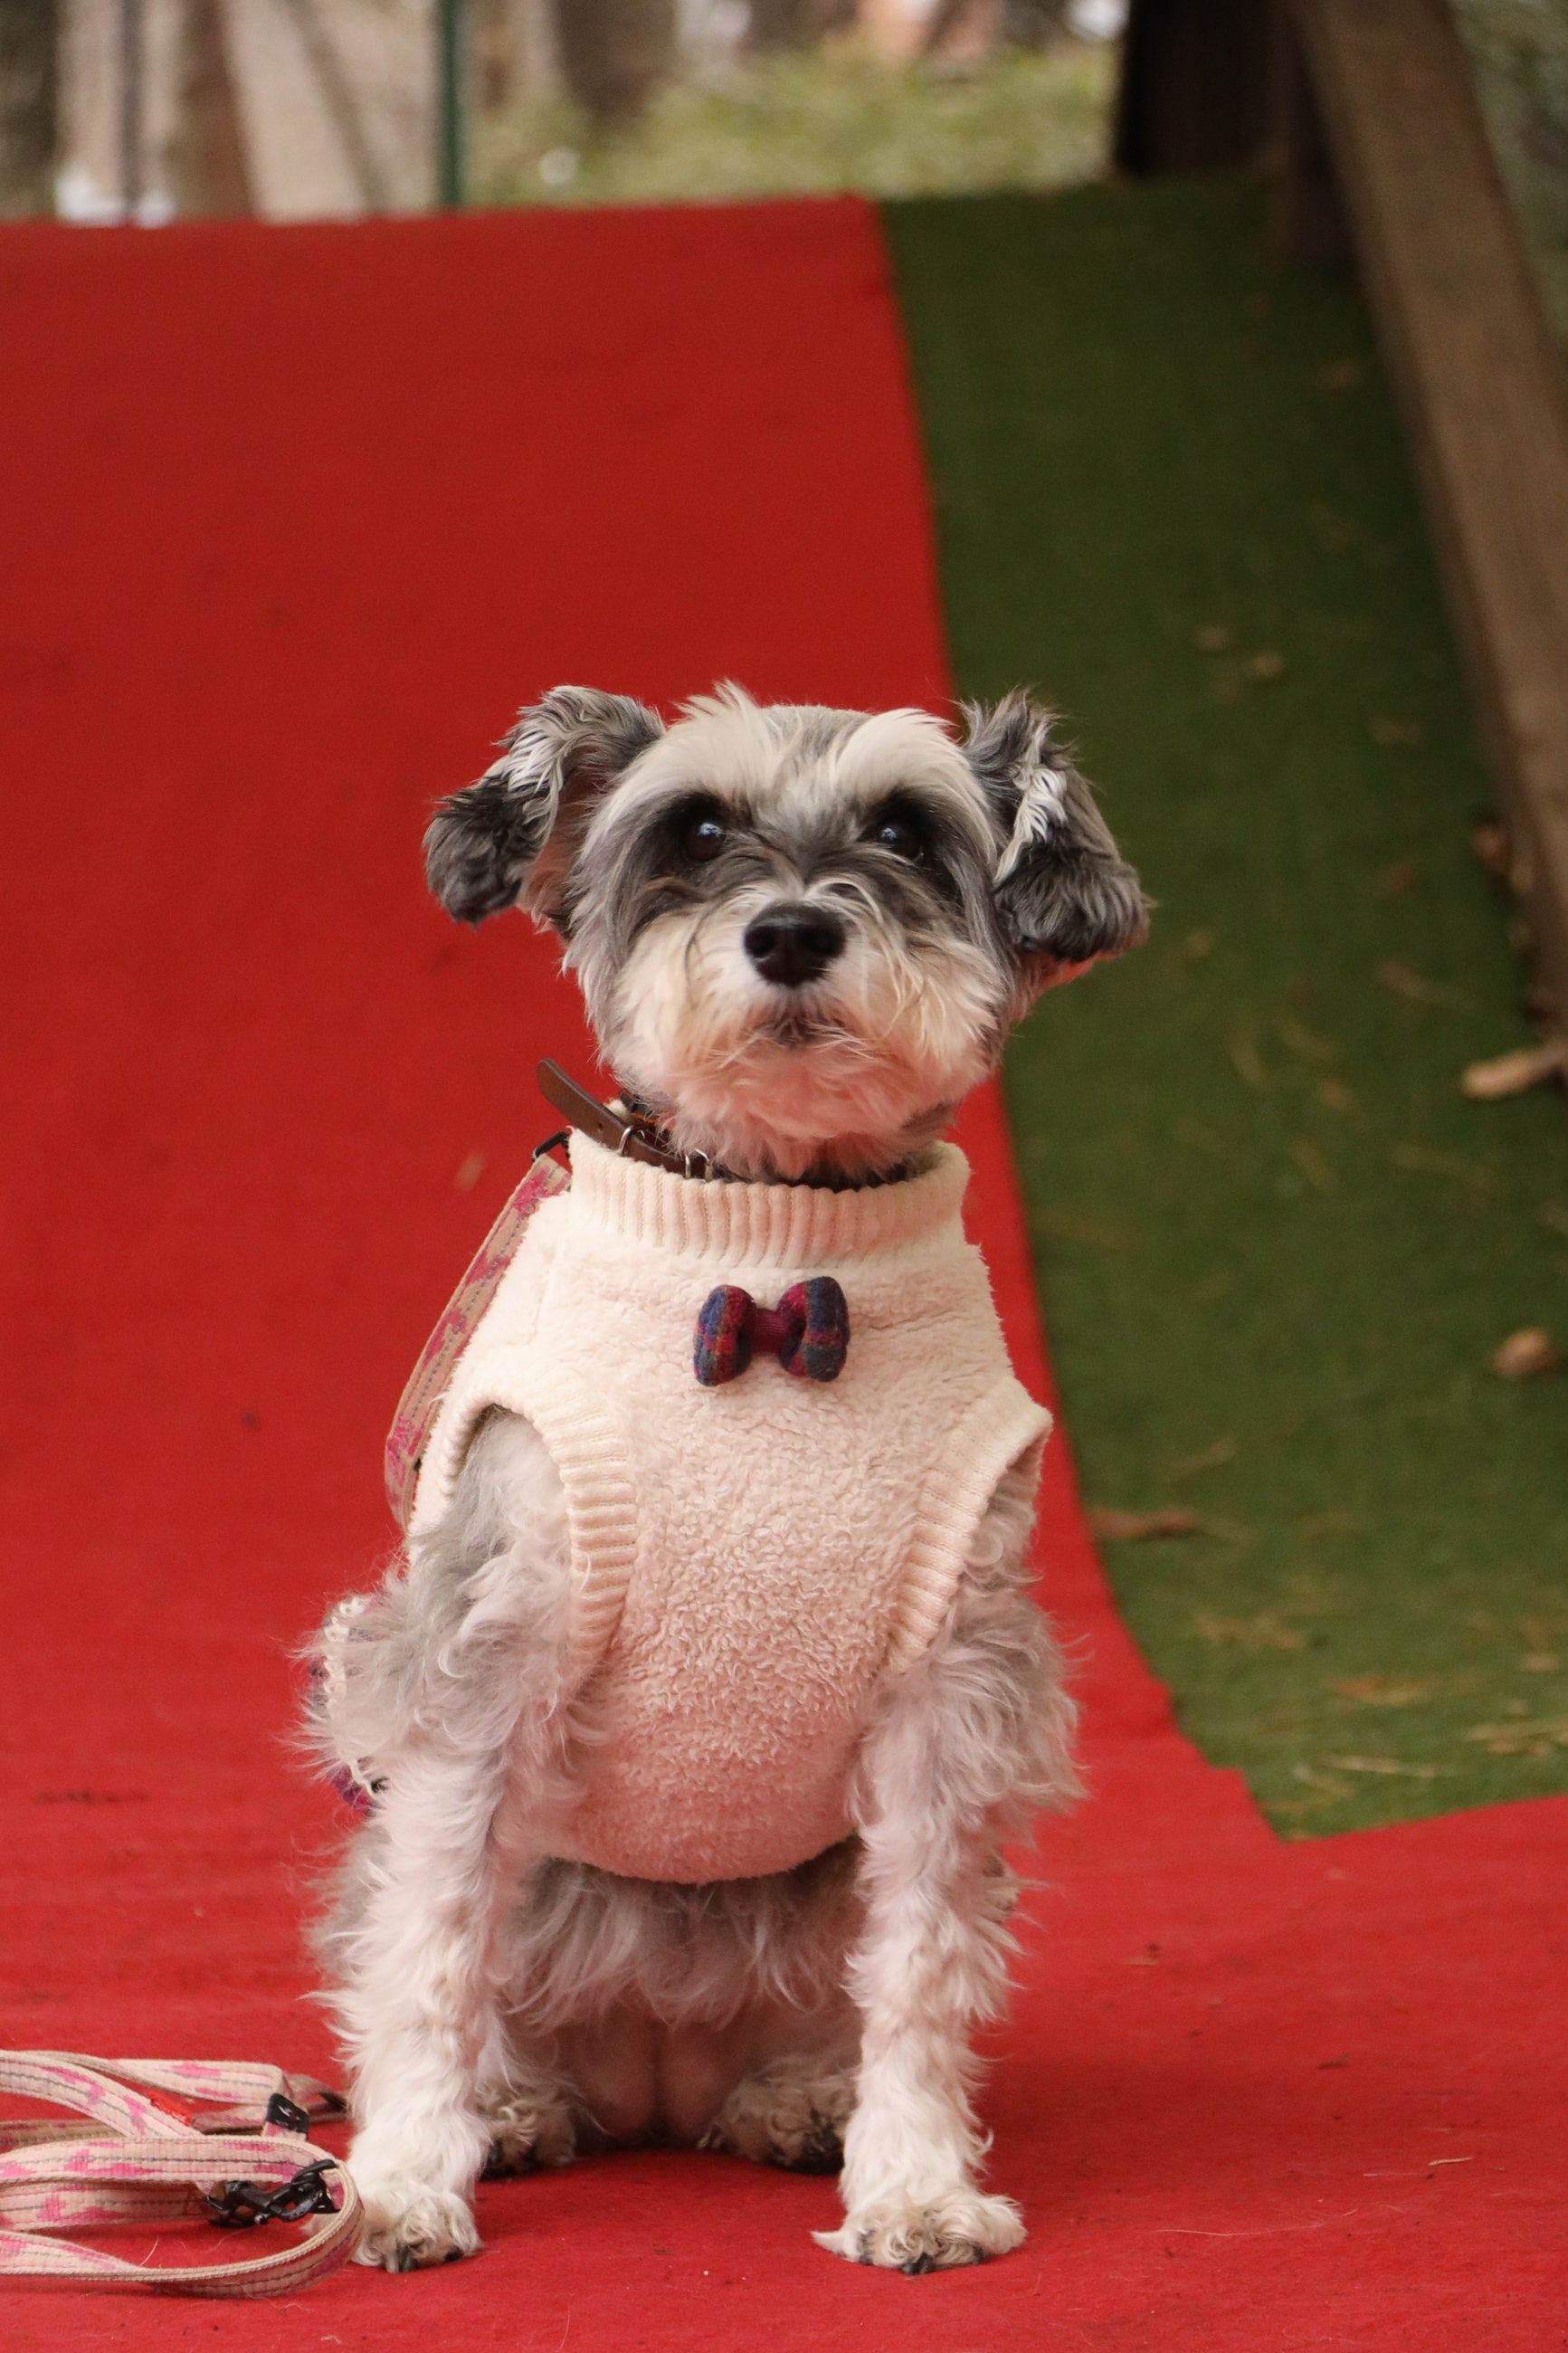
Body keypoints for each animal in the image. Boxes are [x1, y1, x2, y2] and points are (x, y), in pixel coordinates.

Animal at [307, 684, 1144, 2275]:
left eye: (906, 829)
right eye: (695, 829)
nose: (793, 934)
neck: (767, 1263)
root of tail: (655, 2069)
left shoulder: (955, 1687)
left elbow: (924, 1965)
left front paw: (914, 2185)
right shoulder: (478, 1658)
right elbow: (430, 1943)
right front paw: (401, 2179)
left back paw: (798, 2098)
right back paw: (508, 2108)